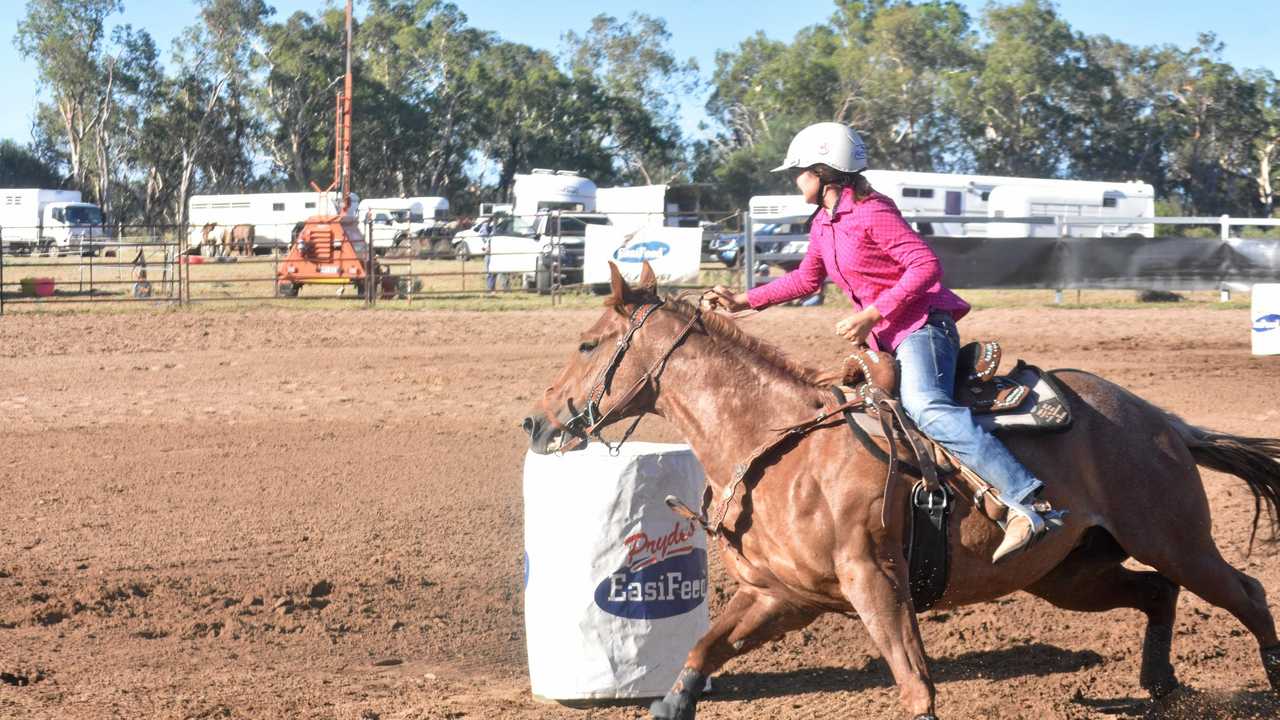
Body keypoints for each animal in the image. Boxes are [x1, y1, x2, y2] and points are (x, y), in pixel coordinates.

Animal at [522, 265, 1280, 717]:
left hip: (1176, 538)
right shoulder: (782, 595)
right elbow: (703, 651)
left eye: (588, 344)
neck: (783, 446)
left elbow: (916, 686)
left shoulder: (875, 581)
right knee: (1157, 594)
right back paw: (1161, 685)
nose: (536, 420)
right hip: (1069, 573)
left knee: (1245, 592)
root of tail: (1161, 420)